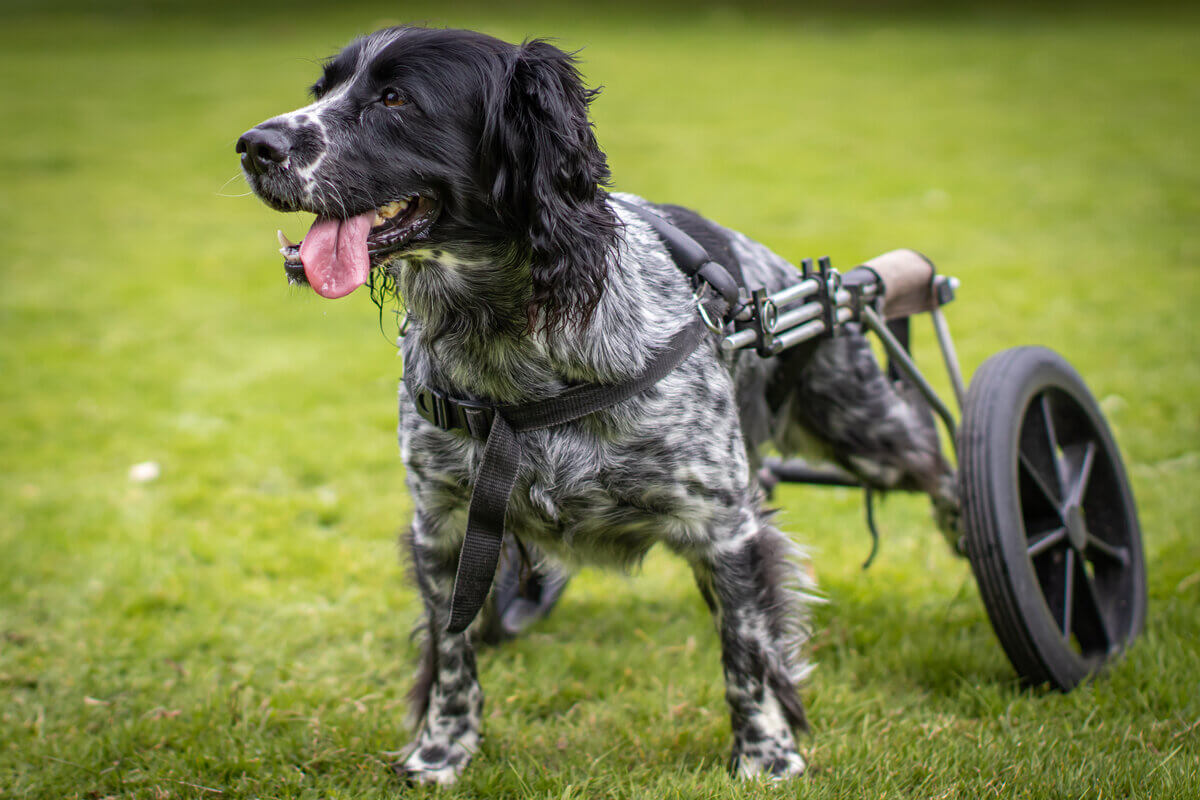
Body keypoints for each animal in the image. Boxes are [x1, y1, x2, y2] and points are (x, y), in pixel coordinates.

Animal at [238, 25, 955, 782]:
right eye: (323, 89)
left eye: (396, 98)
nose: (254, 146)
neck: (510, 346)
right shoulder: (443, 526)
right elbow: (452, 652)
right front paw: (441, 753)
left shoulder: (725, 529)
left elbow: (749, 652)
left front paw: (766, 758)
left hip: (865, 426)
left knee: (942, 468)